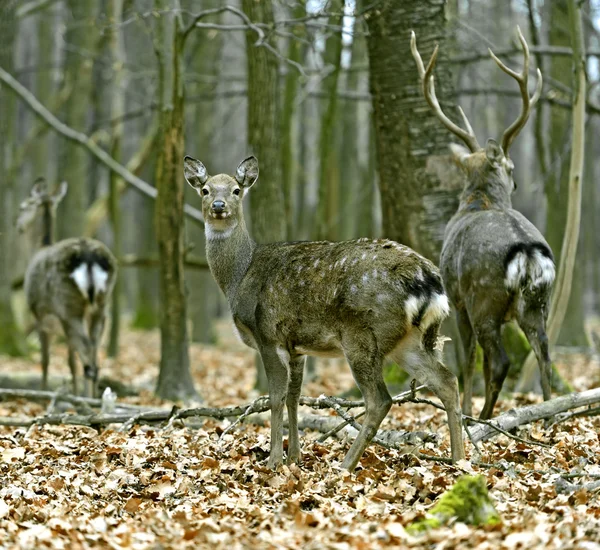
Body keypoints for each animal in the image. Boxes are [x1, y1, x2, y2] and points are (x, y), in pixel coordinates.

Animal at [16, 180, 117, 396]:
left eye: (23, 206)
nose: (17, 225)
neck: (39, 247)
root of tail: (88, 256)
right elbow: (71, 361)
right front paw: (74, 392)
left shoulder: (39, 315)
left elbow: (45, 359)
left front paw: (43, 392)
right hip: (101, 306)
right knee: (94, 354)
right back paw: (93, 397)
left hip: (68, 304)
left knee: (87, 353)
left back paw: (88, 397)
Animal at [185, 154, 466, 470]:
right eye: (205, 190)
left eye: (236, 190)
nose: (219, 206)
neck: (239, 277)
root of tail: (428, 280)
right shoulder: (297, 348)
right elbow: (294, 397)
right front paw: (294, 457)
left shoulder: (267, 335)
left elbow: (275, 397)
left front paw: (273, 462)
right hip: (410, 340)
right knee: (446, 381)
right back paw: (459, 460)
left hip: (363, 334)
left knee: (380, 399)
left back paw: (345, 465)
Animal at [410, 28, 556, 420]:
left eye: (511, 167)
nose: (516, 184)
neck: (478, 201)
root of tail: (528, 253)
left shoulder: (456, 297)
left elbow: (470, 360)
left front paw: (465, 407)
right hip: (537, 303)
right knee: (544, 356)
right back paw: (548, 414)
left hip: (483, 298)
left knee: (500, 360)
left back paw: (483, 417)